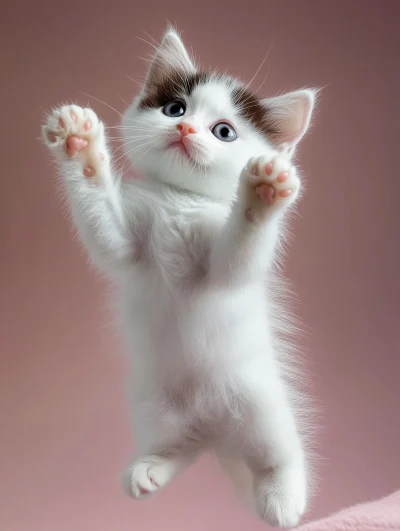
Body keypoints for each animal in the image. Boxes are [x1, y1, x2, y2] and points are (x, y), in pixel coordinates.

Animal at [42, 27, 318, 524]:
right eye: (175, 109)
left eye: (224, 131)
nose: (185, 129)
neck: (179, 198)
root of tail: (217, 432)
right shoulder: (126, 247)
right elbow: (103, 231)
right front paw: (78, 143)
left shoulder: (224, 267)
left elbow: (238, 257)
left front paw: (263, 189)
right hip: (154, 408)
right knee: (183, 448)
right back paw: (150, 469)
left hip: (261, 405)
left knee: (281, 452)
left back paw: (283, 499)